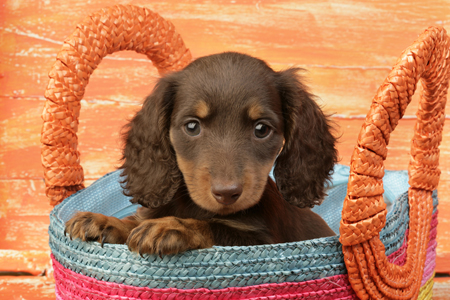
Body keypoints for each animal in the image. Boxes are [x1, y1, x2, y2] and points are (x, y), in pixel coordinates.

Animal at [64, 52, 338, 255]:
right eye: (192, 126)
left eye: (262, 129)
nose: (227, 193)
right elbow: (135, 221)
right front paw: (105, 221)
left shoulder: (263, 241)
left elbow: (213, 228)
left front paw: (172, 228)